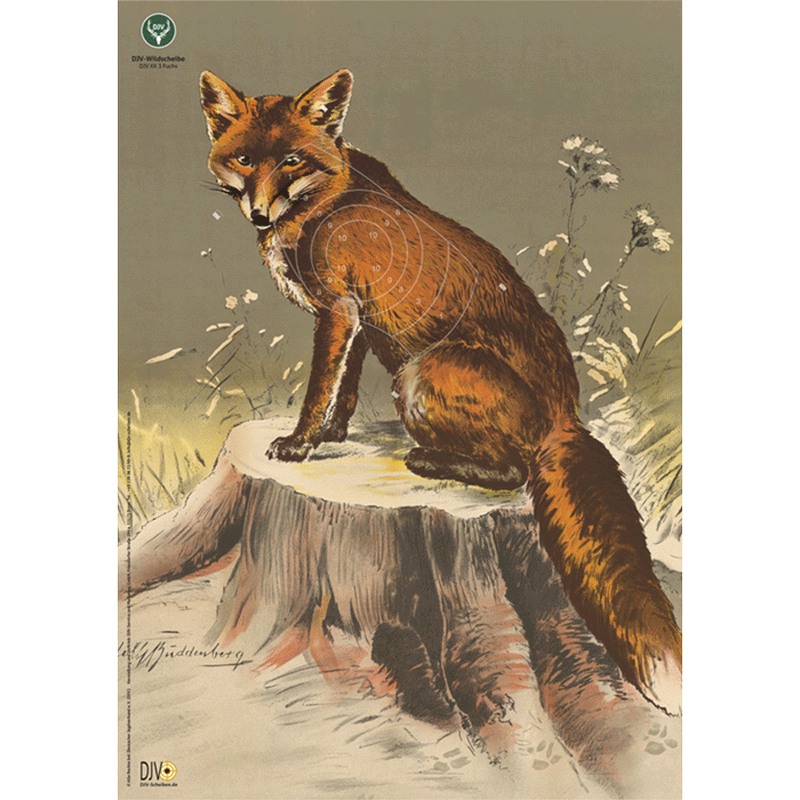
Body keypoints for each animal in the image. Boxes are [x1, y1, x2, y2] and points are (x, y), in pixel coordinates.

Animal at [199, 69, 682, 715]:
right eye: (245, 159)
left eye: (293, 160)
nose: (257, 213)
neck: (326, 198)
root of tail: (567, 414)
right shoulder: (359, 322)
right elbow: (343, 392)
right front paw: (331, 437)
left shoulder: (338, 311)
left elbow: (319, 387)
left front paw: (300, 444)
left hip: (418, 377)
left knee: (514, 471)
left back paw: (431, 460)